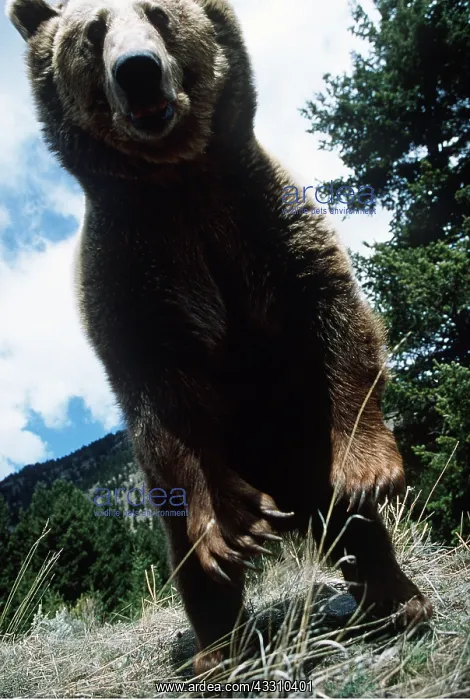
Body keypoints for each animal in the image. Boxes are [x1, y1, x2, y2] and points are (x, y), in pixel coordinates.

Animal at [8, 0, 432, 677]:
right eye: (93, 33)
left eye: (158, 13)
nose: (138, 71)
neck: (179, 180)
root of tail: (292, 499)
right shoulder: (134, 278)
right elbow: (162, 406)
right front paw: (228, 533)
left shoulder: (266, 221)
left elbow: (339, 318)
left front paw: (371, 470)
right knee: (192, 556)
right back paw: (218, 644)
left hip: (304, 437)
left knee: (356, 527)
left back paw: (397, 598)